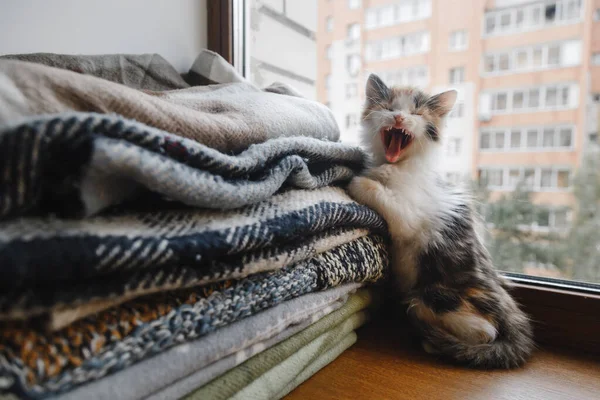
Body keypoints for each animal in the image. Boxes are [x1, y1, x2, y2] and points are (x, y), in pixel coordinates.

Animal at [346, 74, 536, 368]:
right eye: (389, 108)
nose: (399, 117)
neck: (397, 166)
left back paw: (433, 340)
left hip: (433, 296)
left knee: (484, 330)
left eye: (415, 113)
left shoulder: (409, 216)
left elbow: (378, 193)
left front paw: (358, 182)